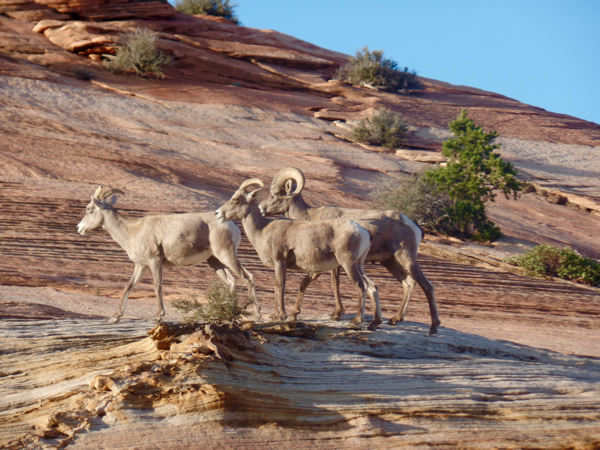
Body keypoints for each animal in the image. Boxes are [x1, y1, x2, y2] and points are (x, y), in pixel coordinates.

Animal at [75, 186, 258, 324]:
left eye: (89, 209)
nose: (79, 228)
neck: (131, 231)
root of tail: (231, 224)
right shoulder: (141, 265)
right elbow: (129, 286)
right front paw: (115, 317)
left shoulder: (154, 262)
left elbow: (157, 286)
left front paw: (158, 315)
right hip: (215, 261)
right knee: (231, 281)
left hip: (226, 254)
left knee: (247, 277)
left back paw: (257, 314)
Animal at [216, 179, 382, 330]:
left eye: (235, 199)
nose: (218, 214)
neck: (262, 230)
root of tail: (363, 232)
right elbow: (281, 287)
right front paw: (276, 315)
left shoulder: (280, 262)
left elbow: (280, 286)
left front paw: (281, 315)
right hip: (359, 265)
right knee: (372, 287)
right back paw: (374, 323)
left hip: (348, 264)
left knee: (361, 286)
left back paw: (356, 321)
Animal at [258, 168, 440, 334]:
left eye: (276, 194)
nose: (260, 208)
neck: (310, 217)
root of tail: (413, 225)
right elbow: (324, 284)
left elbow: (331, 284)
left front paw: (336, 314)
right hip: (390, 262)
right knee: (408, 283)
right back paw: (394, 320)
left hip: (406, 258)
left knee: (427, 286)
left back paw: (433, 327)